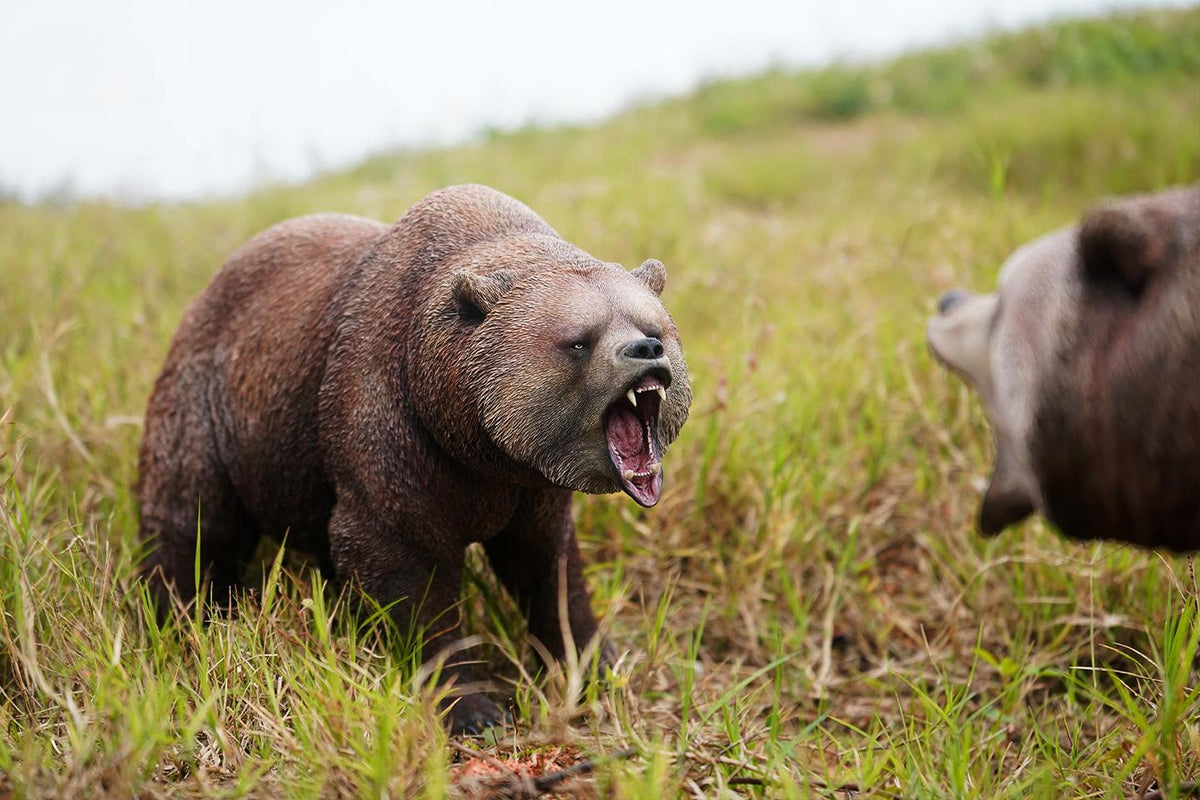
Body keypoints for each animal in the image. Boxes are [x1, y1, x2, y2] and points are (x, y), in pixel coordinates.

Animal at [136, 184, 692, 732]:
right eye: (579, 341)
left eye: (653, 326)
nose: (645, 350)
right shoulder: (392, 435)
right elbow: (406, 572)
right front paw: (473, 708)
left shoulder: (532, 488)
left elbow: (548, 569)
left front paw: (597, 667)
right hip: (211, 408)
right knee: (192, 517)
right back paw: (174, 616)